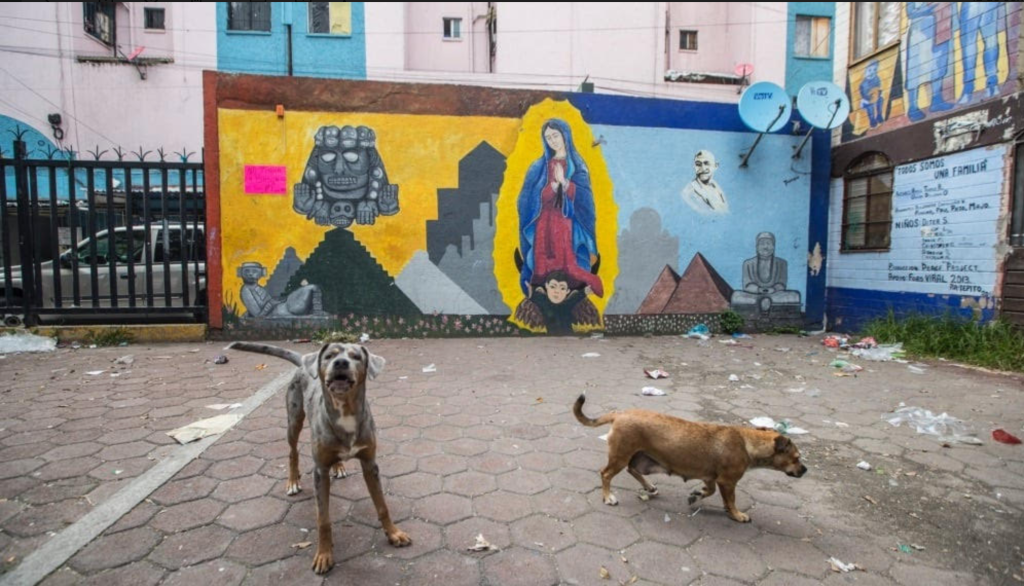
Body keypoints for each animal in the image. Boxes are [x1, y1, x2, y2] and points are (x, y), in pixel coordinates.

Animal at [230, 340, 409, 573]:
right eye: (330, 356)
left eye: (356, 357)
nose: (340, 362)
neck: (345, 411)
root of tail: (303, 361)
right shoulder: (320, 471)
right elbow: (323, 520)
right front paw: (324, 555)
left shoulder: (370, 464)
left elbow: (382, 506)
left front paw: (394, 533)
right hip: (294, 419)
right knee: (293, 452)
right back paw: (293, 482)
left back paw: (339, 466)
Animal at [573, 393, 802, 522]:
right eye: (797, 458)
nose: (805, 470)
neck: (747, 441)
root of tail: (618, 414)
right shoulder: (727, 482)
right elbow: (731, 501)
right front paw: (737, 515)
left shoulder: (712, 478)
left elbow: (709, 491)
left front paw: (697, 495)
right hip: (620, 456)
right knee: (606, 474)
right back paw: (608, 497)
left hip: (641, 459)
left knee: (633, 469)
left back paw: (650, 487)